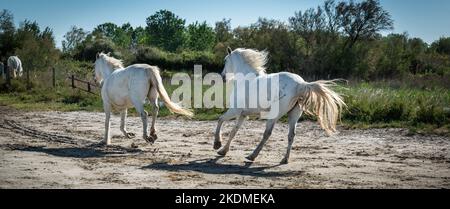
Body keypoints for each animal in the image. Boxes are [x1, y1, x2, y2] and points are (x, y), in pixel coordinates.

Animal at [213, 48, 346, 164]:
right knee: (291, 135)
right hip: (294, 115)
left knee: (267, 134)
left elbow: (220, 120)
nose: (223, 76)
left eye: (225, 60)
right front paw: (223, 151)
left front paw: (217, 144)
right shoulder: (243, 114)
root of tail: (301, 84)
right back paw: (284, 159)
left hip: (274, 115)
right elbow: (234, 131)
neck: (246, 80)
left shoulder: (235, 111)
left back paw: (252, 156)